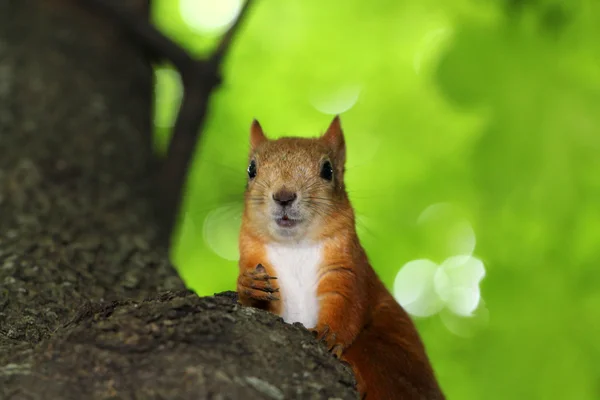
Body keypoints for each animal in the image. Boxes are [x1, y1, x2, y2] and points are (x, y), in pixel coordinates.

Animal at [237, 116, 442, 400]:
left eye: (328, 170)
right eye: (251, 169)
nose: (283, 197)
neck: (294, 246)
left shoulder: (347, 268)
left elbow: (346, 303)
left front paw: (328, 333)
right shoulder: (253, 256)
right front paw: (249, 285)